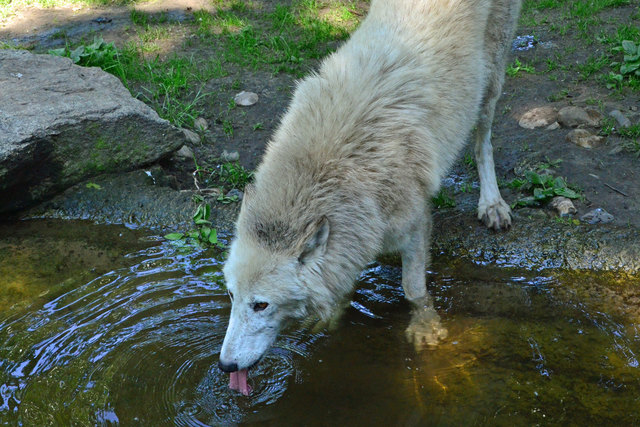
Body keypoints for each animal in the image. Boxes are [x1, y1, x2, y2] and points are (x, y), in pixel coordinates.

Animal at [218, 0, 522, 393]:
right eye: (231, 296)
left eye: (261, 305)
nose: (225, 365)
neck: (334, 167)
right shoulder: (358, 232)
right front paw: (332, 315)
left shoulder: (415, 224)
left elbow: (413, 289)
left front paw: (425, 328)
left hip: (490, 80)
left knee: (483, 140)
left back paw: (491, 203)